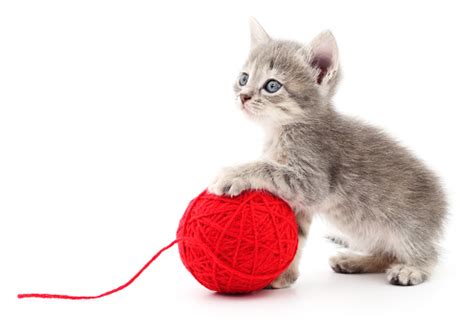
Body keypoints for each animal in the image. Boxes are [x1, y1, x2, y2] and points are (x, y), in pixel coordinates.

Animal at [209, 18, 446, 288]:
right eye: (243, 78)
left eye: (272, 85)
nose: (243, 96)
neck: (282, 130)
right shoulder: (301, 203)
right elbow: (297, 236)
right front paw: (285, 276)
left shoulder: (312, 180)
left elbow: (267, 169)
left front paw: (233, 174)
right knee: (385, 253)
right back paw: (355, 261)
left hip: (407, 228)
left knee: (426, 254)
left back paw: (412, 268)